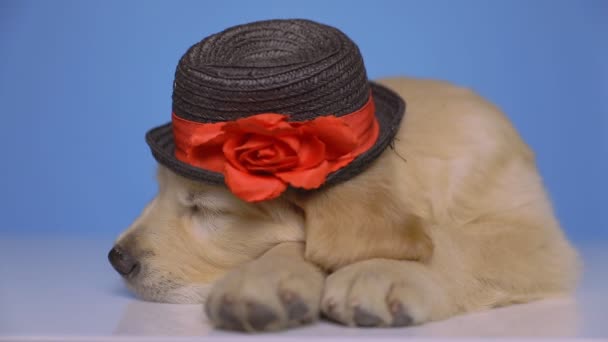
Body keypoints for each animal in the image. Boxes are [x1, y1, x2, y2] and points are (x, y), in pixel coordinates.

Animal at [109, 77, 580, 332]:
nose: (117, 259)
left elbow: (454, 242)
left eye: (205, 208)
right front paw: (264, 277)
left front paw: (381, 270)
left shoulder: (537, 237)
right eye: (158, 191)